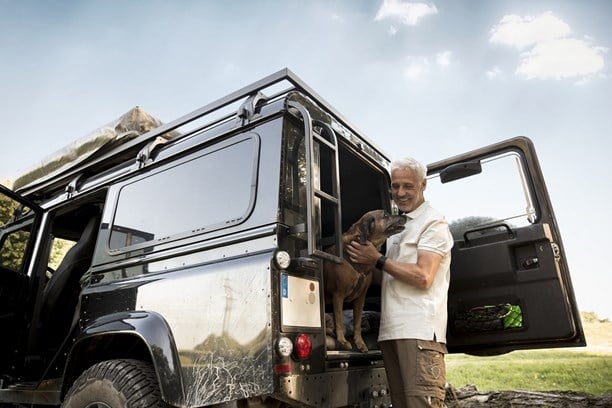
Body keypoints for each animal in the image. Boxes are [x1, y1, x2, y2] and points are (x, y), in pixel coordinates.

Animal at [326, 210, 406, 350]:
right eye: (385, 215)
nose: (405, 216)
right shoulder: (338, 294)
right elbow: (339, 320)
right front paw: (342, 341)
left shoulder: (360, 298)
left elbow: (357, 322)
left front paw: (359, 342)